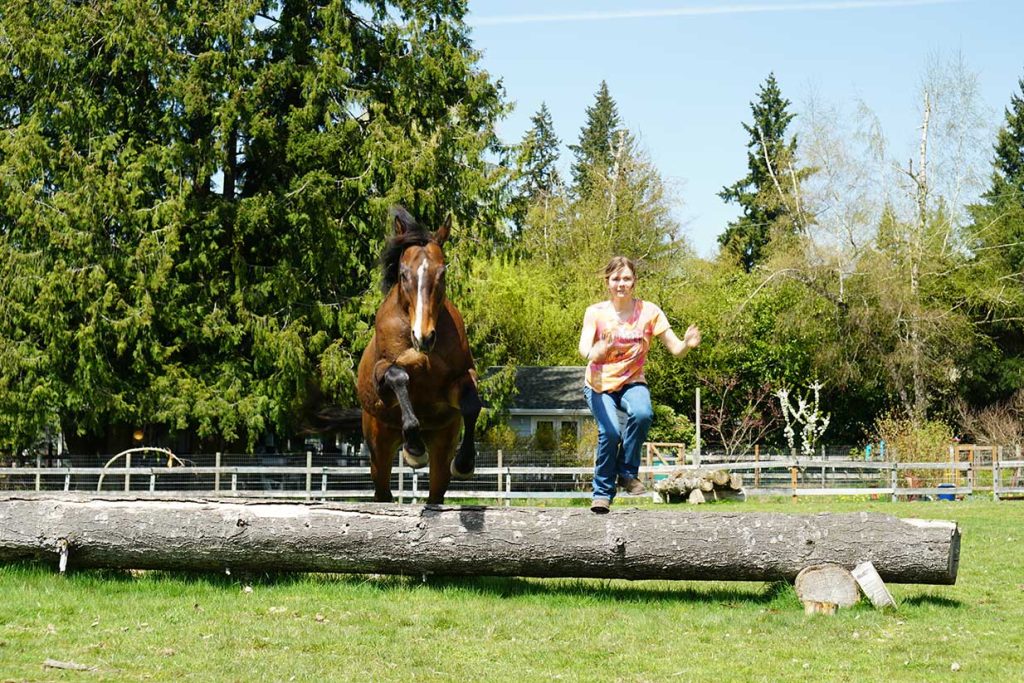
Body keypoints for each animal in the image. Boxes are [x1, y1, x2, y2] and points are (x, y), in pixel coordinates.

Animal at [356, 205, 479, 505]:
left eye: (442, 273)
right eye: (403, 274)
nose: (423, 337)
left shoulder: (458, 381)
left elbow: (472, 404)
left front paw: (465, 462)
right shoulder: (383, 376)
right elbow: (399, 376)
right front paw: (414, 448)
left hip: (442, 444)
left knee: (436, 493)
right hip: (379, 448)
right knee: (383, 492)